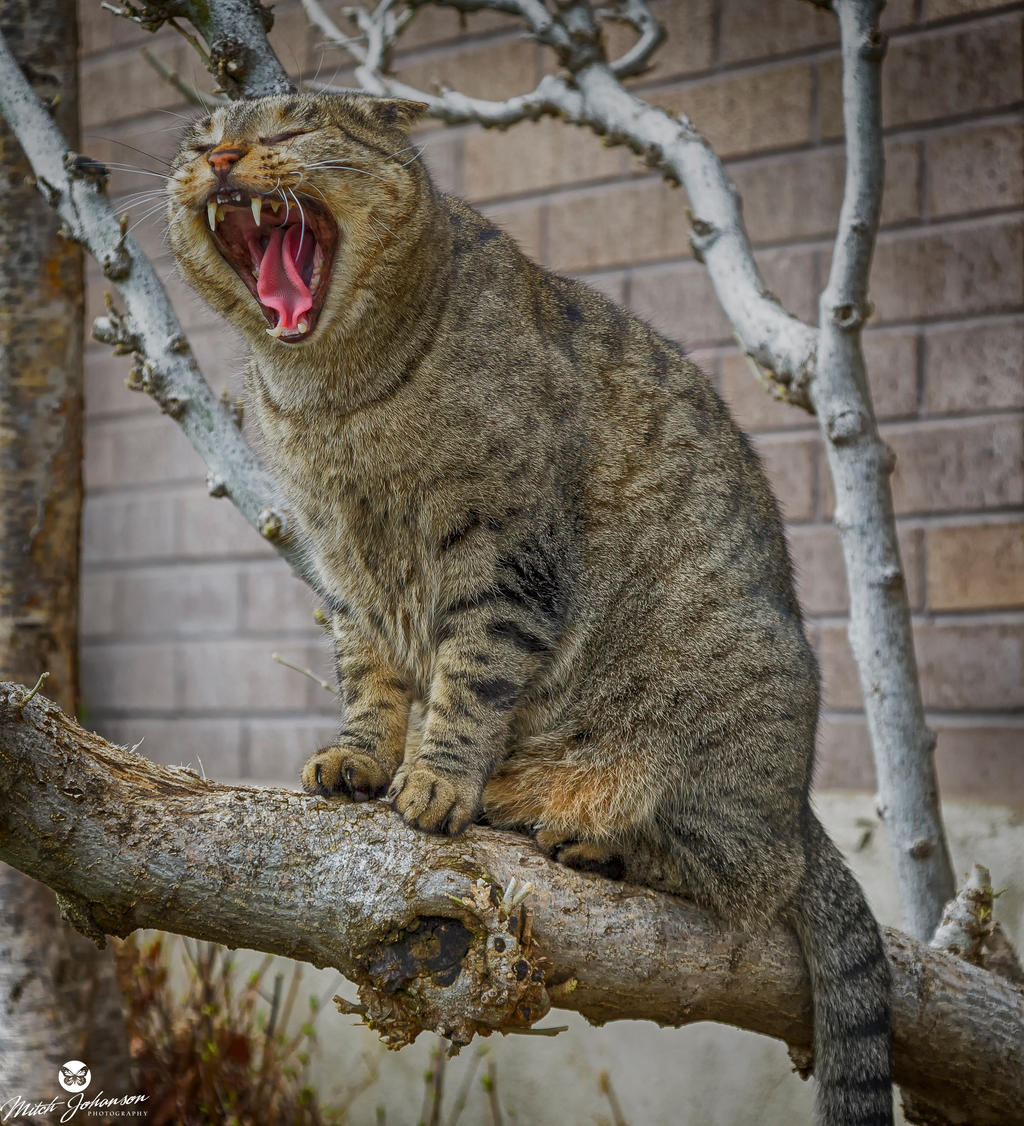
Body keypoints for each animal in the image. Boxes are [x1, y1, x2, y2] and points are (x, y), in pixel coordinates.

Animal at [163, 90, 892, 1126]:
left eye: (290, 127)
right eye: (200, 137)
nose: (222, 157)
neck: (331, 398)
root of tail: (798, 807)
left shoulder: (505, 555)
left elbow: (469, 680)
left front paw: (434, 780)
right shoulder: (342, 571)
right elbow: (369, 677)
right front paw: (362, 757)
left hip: (725, 721)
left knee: (750, 875)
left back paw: (592, 839)